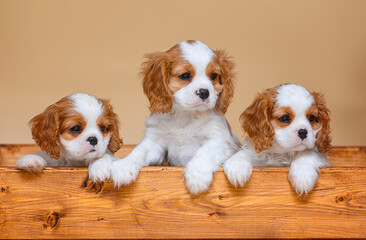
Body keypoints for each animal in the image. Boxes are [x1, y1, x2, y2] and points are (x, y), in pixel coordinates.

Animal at [111, 40, 240, 194]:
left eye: (213, 76)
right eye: (185, 75)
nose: (204, 92)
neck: (185, 114)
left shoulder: (220, 141)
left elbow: (205, 152)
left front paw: (197, 176)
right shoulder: (154, 142)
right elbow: (139, 151)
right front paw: (124, 166)